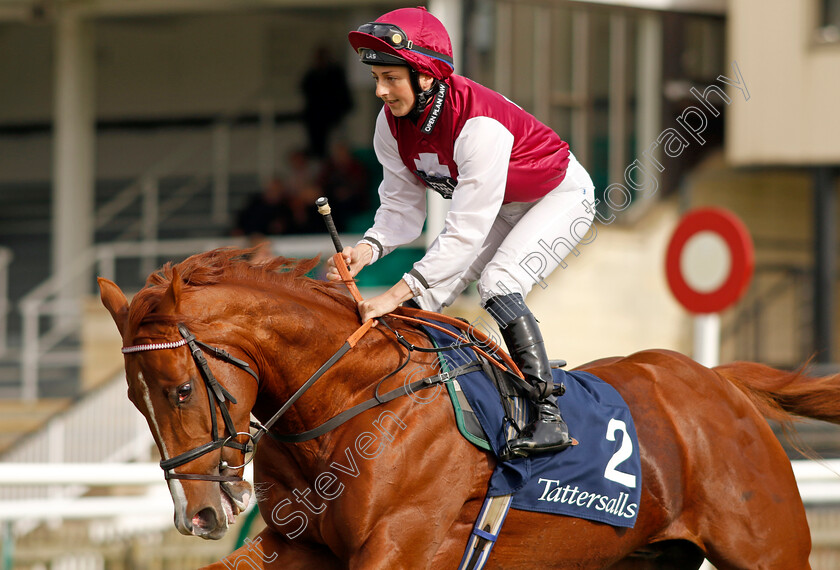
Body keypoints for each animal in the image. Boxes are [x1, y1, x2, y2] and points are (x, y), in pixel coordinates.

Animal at [100, 250, 840, 568]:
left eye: (181, 389)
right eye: (135, 400)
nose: (196, 514)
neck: (350, 403)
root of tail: (720, 383)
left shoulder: (401, 549)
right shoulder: (296, 546)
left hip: (768, 553)